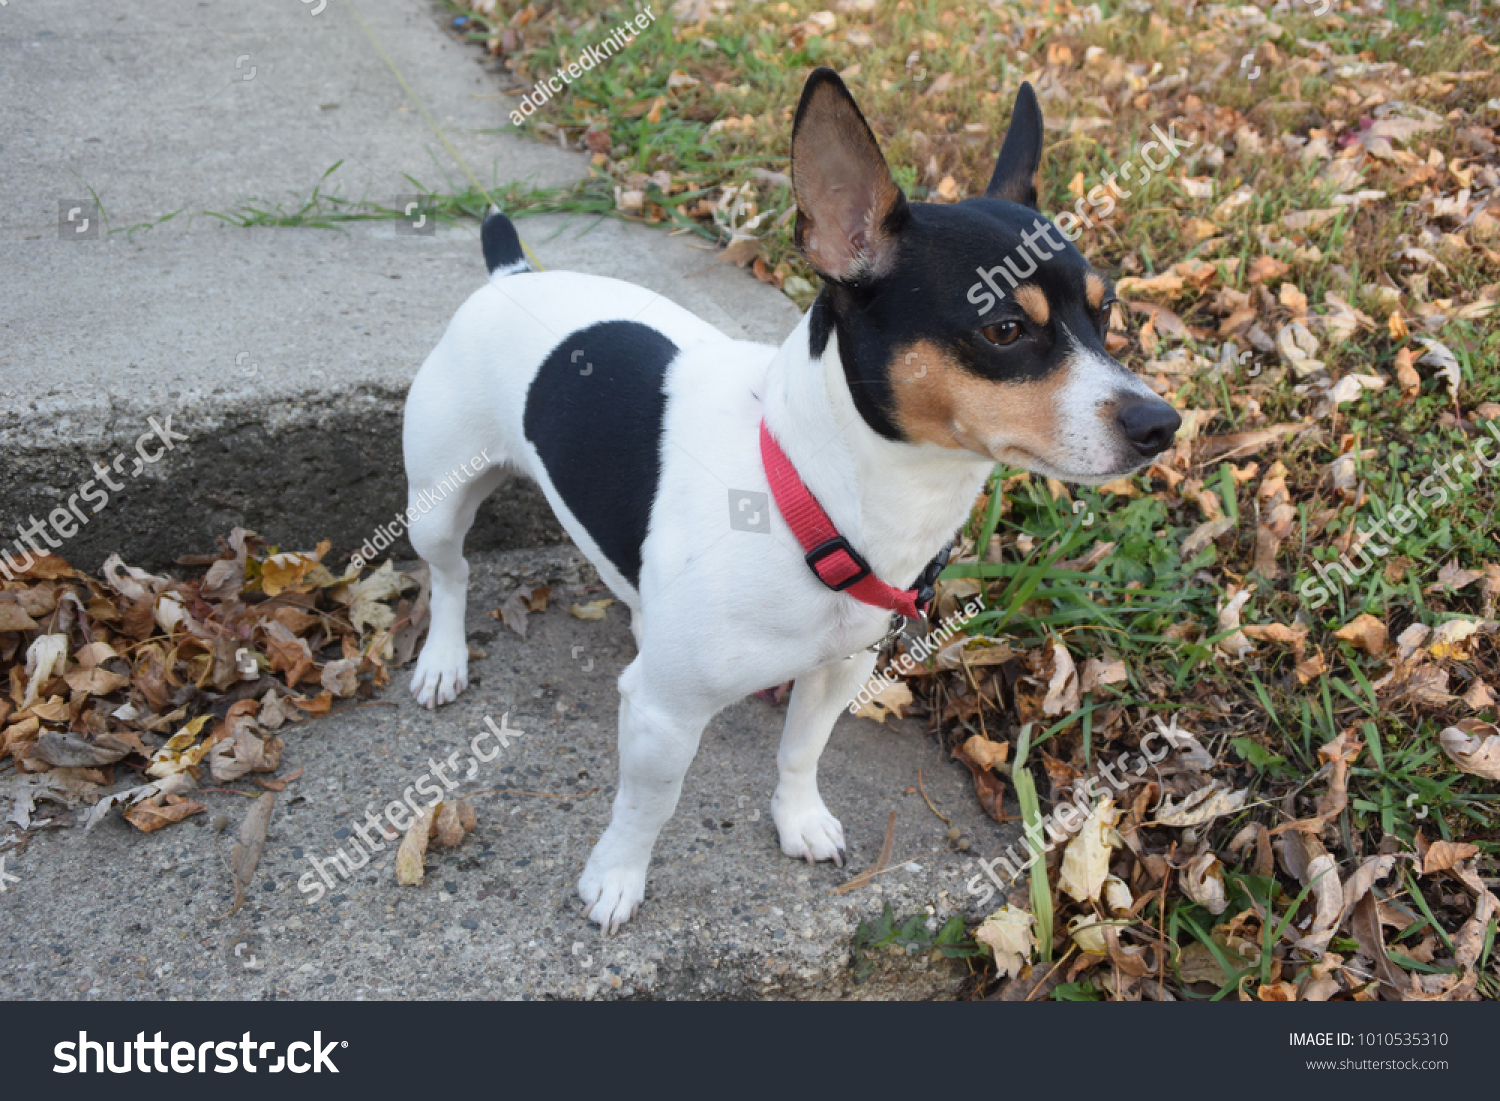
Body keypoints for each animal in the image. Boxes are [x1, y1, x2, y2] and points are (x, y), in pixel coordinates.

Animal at [402, 69, 1182, 930]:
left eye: (1105, 312)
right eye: (1005, 328)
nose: (1161, 422)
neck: (810, 493)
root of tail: (510, 276)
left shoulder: (839, 668)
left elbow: (802, 749)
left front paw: (798, 817)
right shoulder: (662, 714)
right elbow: (648, 804)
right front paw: (616, 875)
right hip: (436, 502)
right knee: (450, 574)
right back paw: (443, 657)